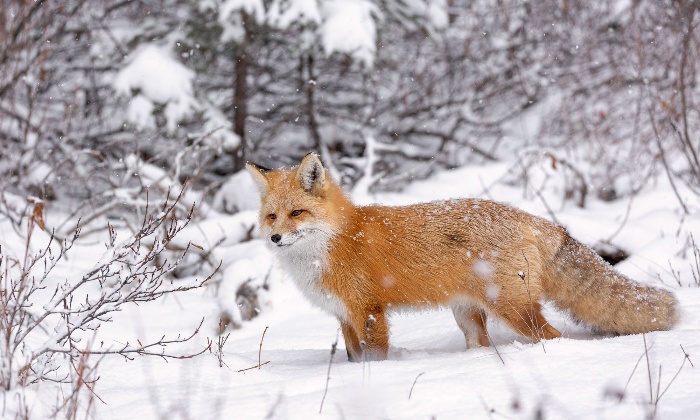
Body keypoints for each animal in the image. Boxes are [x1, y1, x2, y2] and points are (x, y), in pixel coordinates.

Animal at [247, 154, 680, 360]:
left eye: (296, 213)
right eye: (271, 216)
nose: (275, 237)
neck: (334, 242)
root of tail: (536, 219)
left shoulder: (369, 312)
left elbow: (374, 359)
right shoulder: (343, 317)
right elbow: (354, 359)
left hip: (514, 310)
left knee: (554, 337)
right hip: (468, 315)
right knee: (482, 346)